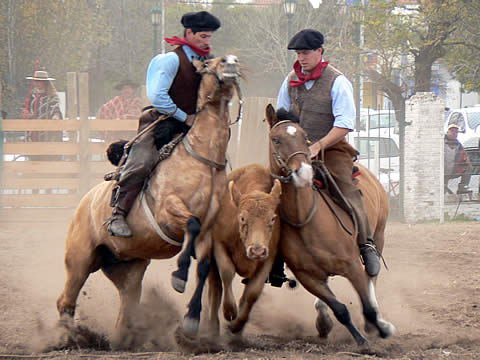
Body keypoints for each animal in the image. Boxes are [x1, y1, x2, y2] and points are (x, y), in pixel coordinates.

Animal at [55, 54, 242, 344]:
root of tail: (85, 201)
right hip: (79, 259)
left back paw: (120, 340)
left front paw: (192, 320)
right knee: (66, 300)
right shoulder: (169, 211)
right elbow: (191, 224)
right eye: (210, 63)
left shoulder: (209, 230)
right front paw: (179, 275)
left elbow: (205, 267)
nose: (231, 61)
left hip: (129, 268)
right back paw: (71, 338)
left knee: (126, 304)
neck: (204, 162)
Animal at [205, 165, 282, 336]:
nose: (257, 251)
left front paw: (237, 325)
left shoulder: (269, 257)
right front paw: (229, 311)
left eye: (273, 218)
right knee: (215, 290)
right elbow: (227, 273)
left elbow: (253, 292)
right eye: (242, 218)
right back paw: (211, 328)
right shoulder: (219, 244)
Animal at [264, 102, 396, 344]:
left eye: (305, 137)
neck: (306, 219)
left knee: (372, 276)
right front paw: (334, 327)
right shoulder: (308, 277)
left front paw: (380, 328)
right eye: (276, 139)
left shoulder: (353, 266)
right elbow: (340, 309)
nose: (304, 172)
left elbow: (367, 306)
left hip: (379, 234)